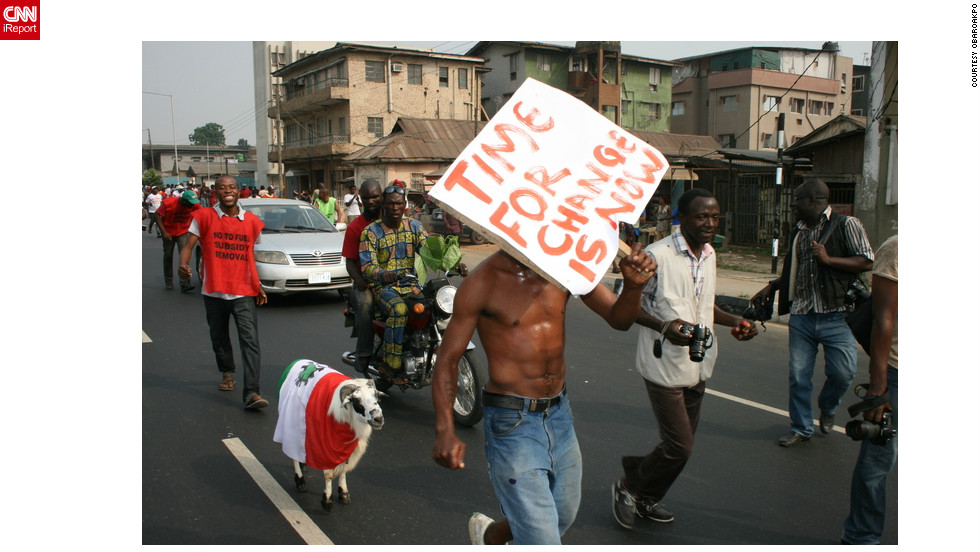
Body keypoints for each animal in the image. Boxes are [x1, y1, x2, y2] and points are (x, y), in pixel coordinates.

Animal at [276, 360, 386, 512]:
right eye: (356, 400)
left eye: (377, 396)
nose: (378, 419)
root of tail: (299, 361)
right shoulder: (324, 445)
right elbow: (328, 475)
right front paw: (327, 500)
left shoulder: (346, 447)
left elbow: (343, 469)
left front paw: (343, 493)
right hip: (291, 424)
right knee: (292, 453)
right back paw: (300, 481)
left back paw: (303, 464)